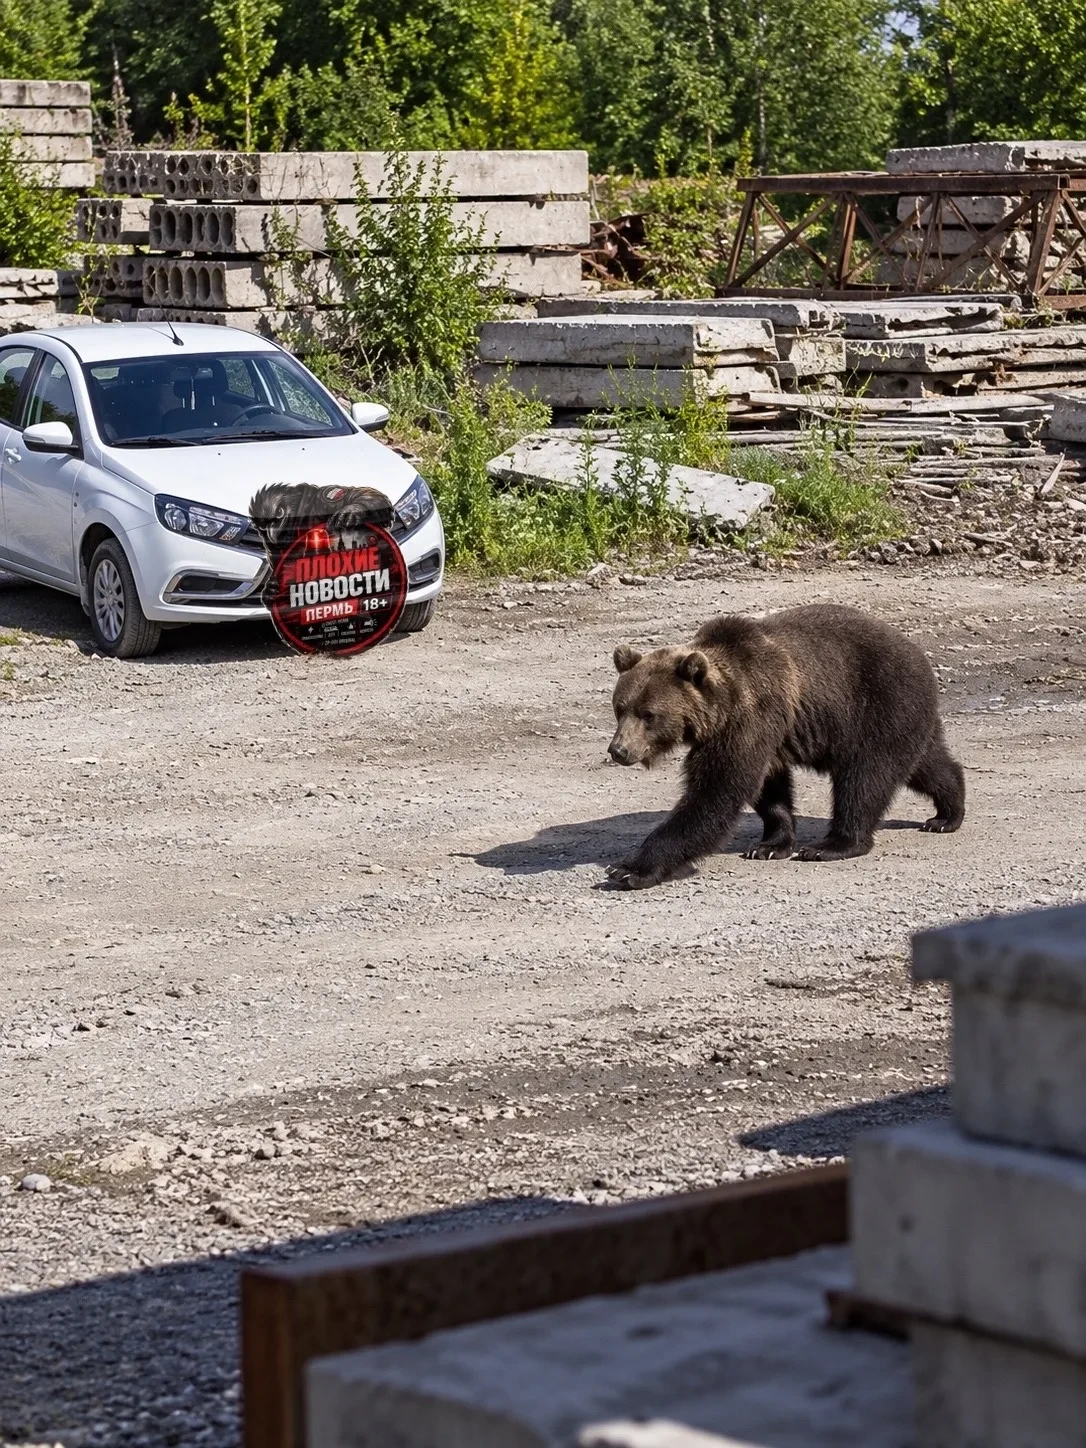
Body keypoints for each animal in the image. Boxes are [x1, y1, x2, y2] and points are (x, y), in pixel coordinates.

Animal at [605, 603, 965, 889]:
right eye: (620, 708)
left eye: (648, 714)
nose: (618, 750)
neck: (721, 707)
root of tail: (920, 655)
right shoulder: (764, 734)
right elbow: (769, 790)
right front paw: (770, 845)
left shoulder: (751, 718)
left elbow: (715, 794)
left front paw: (630, 869)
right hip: (906, 717)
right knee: (927, 764)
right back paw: (946, 814)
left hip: (879, 706)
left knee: (864, 778)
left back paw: (832, 845)